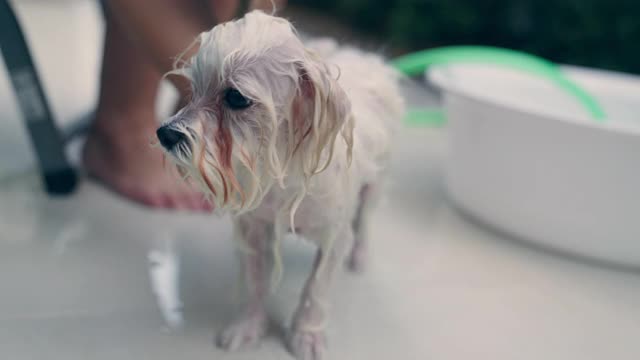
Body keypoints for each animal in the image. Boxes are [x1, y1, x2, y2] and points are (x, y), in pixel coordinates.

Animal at [157, 10, 402, 360]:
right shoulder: (255, 229)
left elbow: (315, 289)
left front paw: (306, 336)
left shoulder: (333, 238)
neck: (281, 168)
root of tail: (366, 57)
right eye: (194, 87)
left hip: (374, 187)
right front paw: (248, 327)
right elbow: (256, 282)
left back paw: (359, 257)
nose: (164, 134)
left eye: (235, 97)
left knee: (365, 221)